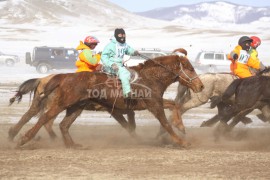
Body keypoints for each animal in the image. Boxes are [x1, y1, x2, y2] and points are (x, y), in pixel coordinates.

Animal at [14, 47, 204, 148]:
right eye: (190, 68)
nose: (200, 86)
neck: (150, 78)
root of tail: (62, 77)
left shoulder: (153, 103)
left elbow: (174, 105)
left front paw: (181, 127)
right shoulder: (154, 105)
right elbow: (165, 122)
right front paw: (181, 141)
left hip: (76, 107)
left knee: (62, 124)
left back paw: (72, 145)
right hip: (62, 103)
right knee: (44, 118)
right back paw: (22, 139)